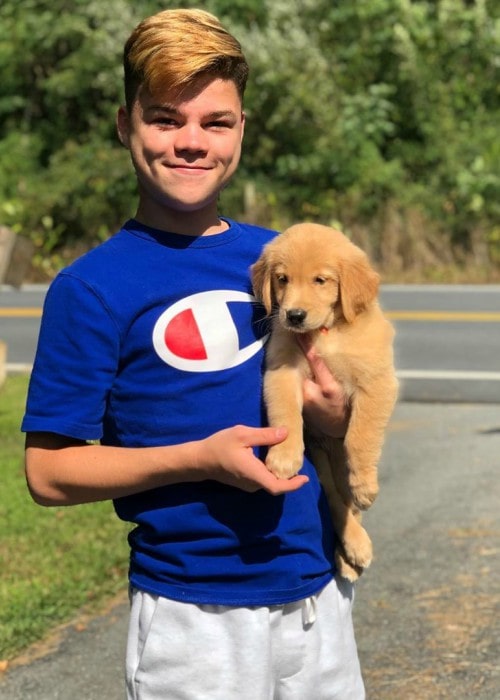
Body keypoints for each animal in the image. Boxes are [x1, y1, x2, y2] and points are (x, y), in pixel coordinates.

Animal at [254, 224, 398, 580]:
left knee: (348, 506)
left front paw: (365, 485)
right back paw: (354, 549)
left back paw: (353, 552)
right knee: (334, 501)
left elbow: (360, 437)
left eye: (320, 280)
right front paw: (283, 457)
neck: (328, 333)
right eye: (282, 279)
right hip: (319, 461)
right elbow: (285, 414)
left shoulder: (376, 382)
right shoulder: (281, 370)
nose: (293, 315)